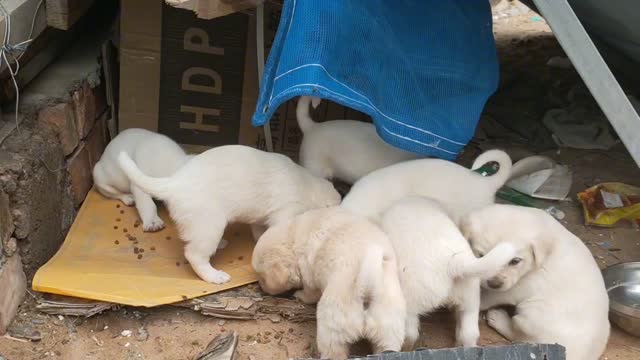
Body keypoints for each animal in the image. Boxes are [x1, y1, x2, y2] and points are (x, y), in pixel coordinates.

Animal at [118, 146, 342, 284]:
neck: (307, 186)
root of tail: (174, 182)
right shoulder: (285, 213)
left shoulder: (260, 220)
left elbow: (260, 233)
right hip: (209, 226)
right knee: (194, 255)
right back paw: (214, 276)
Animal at [251, 205, 404, 360]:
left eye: (262, 278)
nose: (260, 286)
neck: (294, 235)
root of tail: (366, 287)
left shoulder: (308, 274)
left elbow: (309, 293)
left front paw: (299, 295)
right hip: (388, 330)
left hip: (331, 328)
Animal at [460, 205, 608, 360]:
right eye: (481, 255)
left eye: (515, 261)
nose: (494, 284)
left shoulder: (519, 288)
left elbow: (490, 297)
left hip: (530, 315)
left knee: (519, 335)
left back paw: (498, 318)